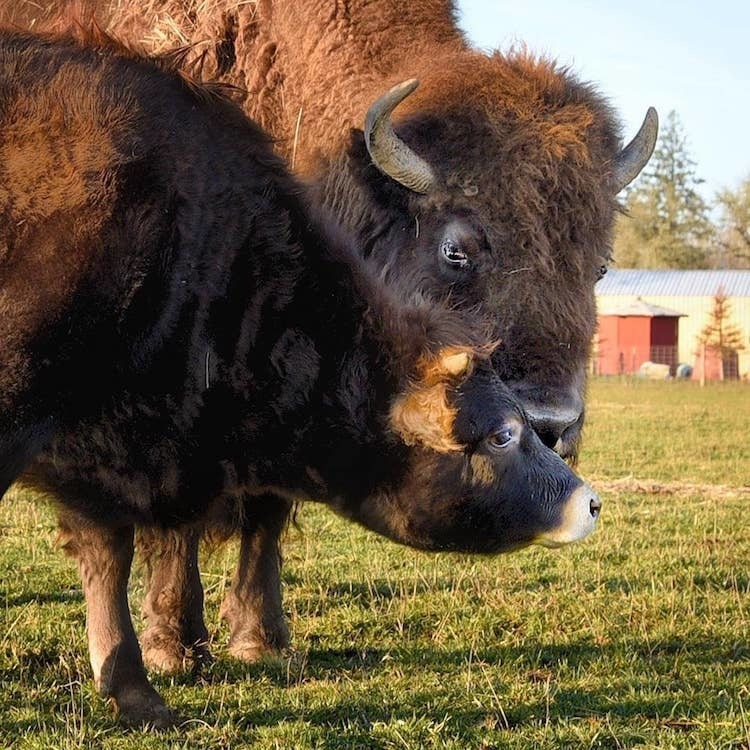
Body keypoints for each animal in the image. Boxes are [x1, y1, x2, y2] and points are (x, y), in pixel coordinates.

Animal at [1, 1, 656, 676]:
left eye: (599, 266)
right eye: (455, 249)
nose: (551, 422)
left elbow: (267, 508)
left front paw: (260, 639)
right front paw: (174, 647)